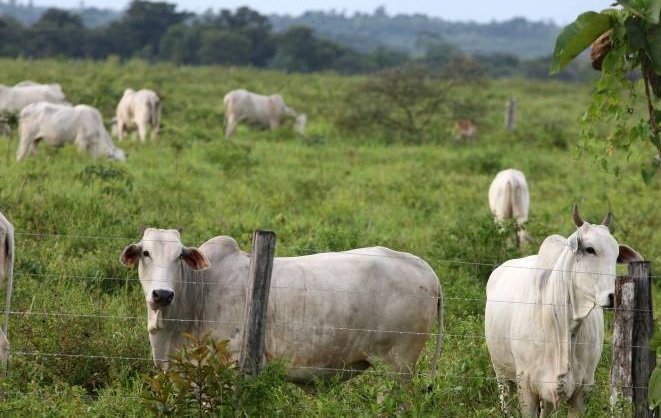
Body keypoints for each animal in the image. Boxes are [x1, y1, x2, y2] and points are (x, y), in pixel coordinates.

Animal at [482, 207, 640, 418]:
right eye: (590, 249)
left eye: (616, 256)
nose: (614, 296)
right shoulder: (526, 387)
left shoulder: (582, 391)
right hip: (501, 374)